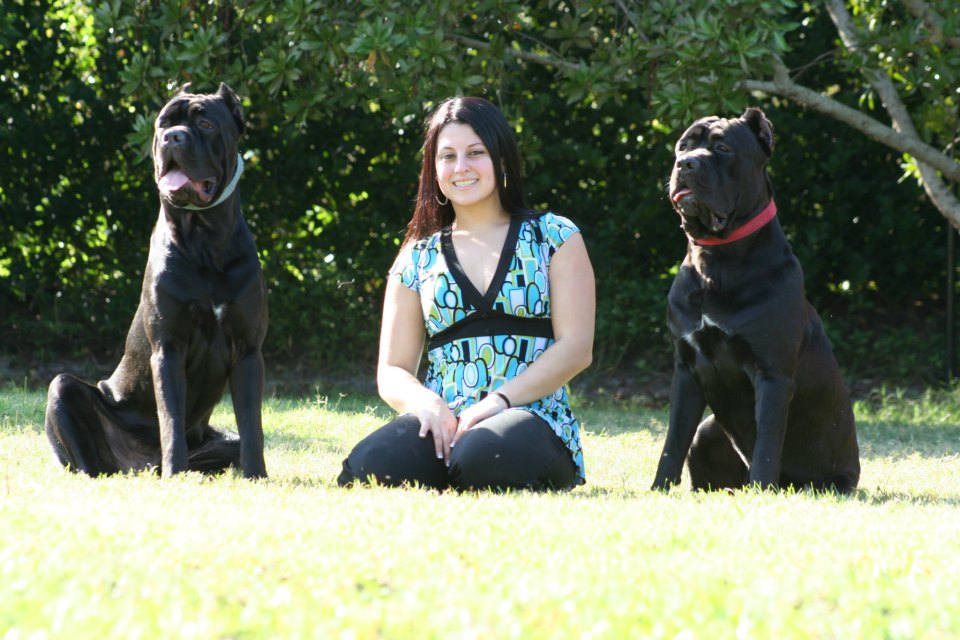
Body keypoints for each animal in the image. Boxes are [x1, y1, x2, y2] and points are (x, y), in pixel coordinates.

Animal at [46, 82, 266, 478]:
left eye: (206, 124)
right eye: (162, 123)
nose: (172, 137)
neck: (204, 239)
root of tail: (138, 464)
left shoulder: (248, 349)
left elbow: (252, 425)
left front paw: (257, 475)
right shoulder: (168, 348)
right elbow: (170, 419)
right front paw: (174, 472)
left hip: (221, 440)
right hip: (62, 389)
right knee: (86, 454)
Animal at [652, 107, 864, 492]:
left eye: (722, 147)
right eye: (683, 146)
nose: (686, 163)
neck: (716, 259)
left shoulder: (772, 374)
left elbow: (767, 443)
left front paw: (762, 492)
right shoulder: (686, 369)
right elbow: (673, 441)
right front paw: (658, 489)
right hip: (707, 432)